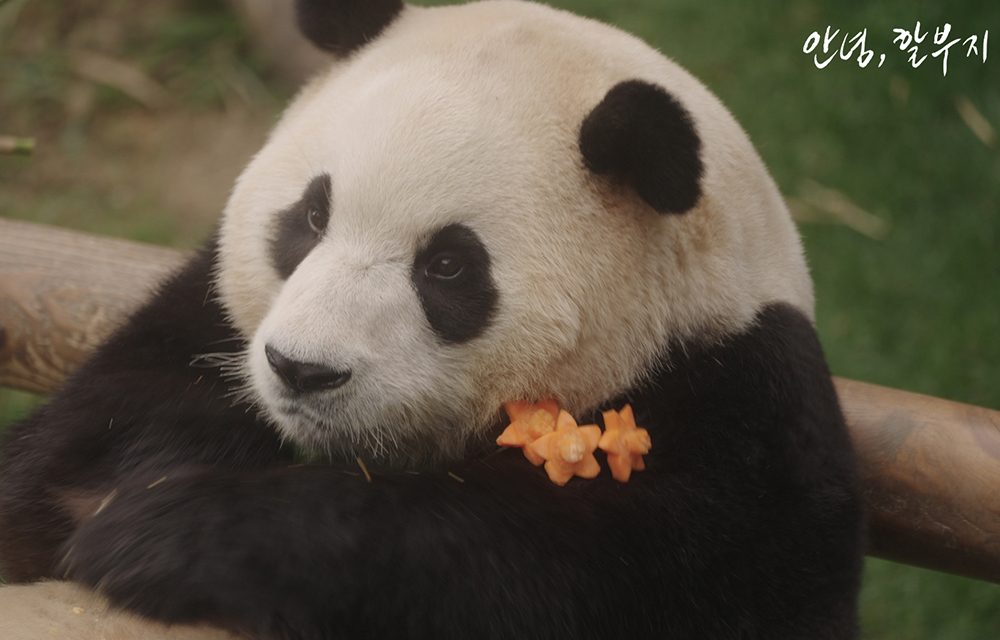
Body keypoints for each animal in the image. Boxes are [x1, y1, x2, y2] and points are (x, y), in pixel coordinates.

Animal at [0, 1, 860, 640]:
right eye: (311, 216)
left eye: (447, 266)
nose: (302, 370)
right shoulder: (195, 321)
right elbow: (97, 427)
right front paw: (133, 481)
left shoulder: (747, 433)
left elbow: (533, 563)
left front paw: (168, 532)